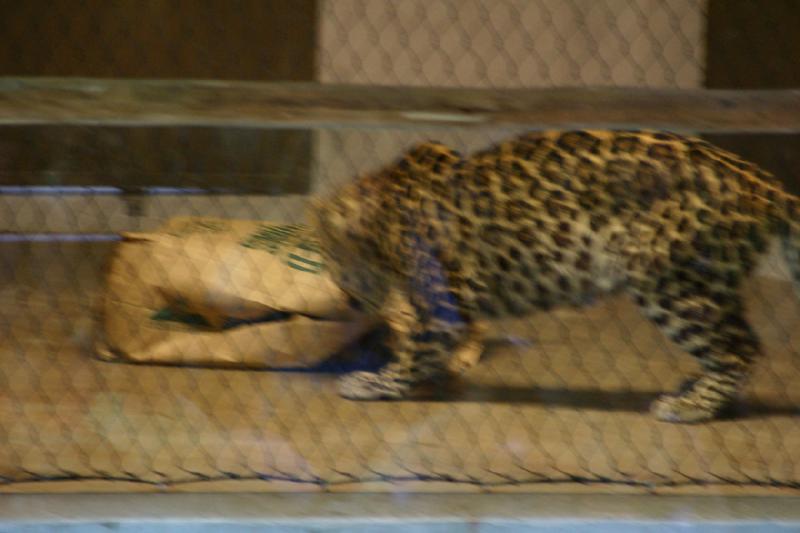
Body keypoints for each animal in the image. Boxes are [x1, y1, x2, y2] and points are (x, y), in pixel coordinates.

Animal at [306, 127, 800, 422]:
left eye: (331, 254)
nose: (345, 295)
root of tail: (767, 186)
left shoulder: (446, 298)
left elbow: (418, 349)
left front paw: (376, 382)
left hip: (668, 280)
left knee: (741, 348)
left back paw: (689, 406)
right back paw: (693, 385)